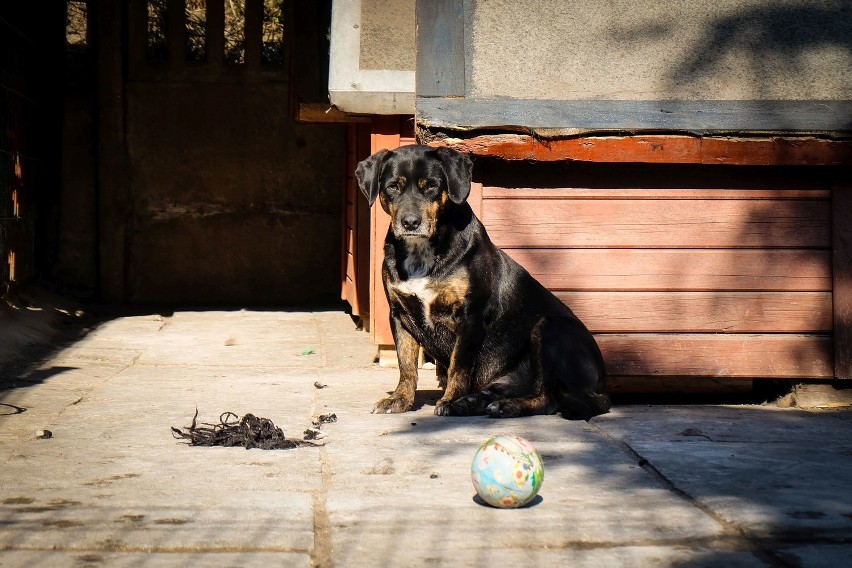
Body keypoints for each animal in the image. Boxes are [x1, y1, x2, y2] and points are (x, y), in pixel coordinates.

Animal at [356, 145, 608, 422]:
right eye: (393, 187)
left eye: (431, 186)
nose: (410, 222)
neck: (423, 252)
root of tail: (601, 384)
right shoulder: (399, 315)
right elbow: (406, 365)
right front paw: (399, 400)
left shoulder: (469, 317)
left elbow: (459, 366)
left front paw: (450, 401)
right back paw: (476, 402)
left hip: (551, 328)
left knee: (547, 399)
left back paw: (502, 407)